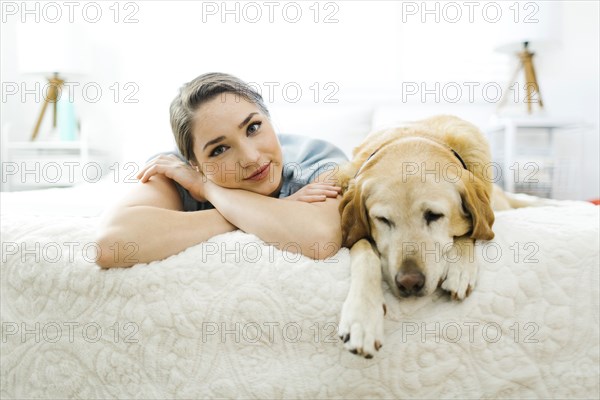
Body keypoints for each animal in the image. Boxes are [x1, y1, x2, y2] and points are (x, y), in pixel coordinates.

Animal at [336, 114, 500, 358]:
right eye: (383, 219)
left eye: (434, 215)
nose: (409, 283)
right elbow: (365, 253)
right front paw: (362, 317)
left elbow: (470, 232)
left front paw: (460, 269)